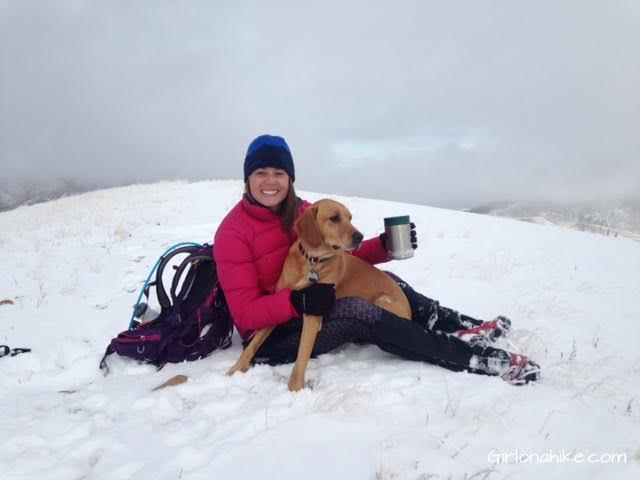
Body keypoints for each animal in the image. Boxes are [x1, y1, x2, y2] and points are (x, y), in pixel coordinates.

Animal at [228, 199, 412, 390]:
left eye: (350, 218)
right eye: (335, 218)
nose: (360, 237)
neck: (311, 261)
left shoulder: (312, 315)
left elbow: (302, 356)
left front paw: (295, 388)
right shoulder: (278, 303)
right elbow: (254, 343)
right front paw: (236, 369)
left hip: (382, 301)